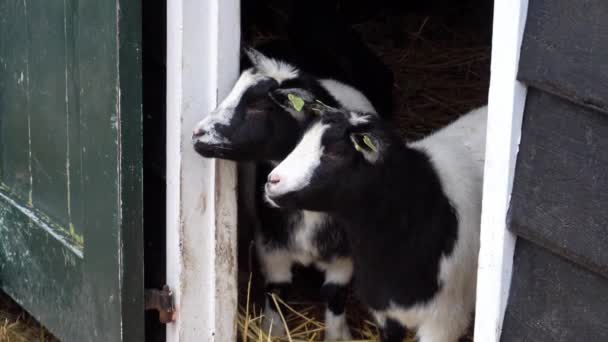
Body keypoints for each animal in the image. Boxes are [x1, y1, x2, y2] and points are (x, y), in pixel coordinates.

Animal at [191, 48, 380, 340]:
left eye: (259, 105)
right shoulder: (271, 242)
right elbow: (277, 289)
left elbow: (335, 295)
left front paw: (338, 335)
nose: (197, 134)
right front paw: (273, 329)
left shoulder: (344, 255)